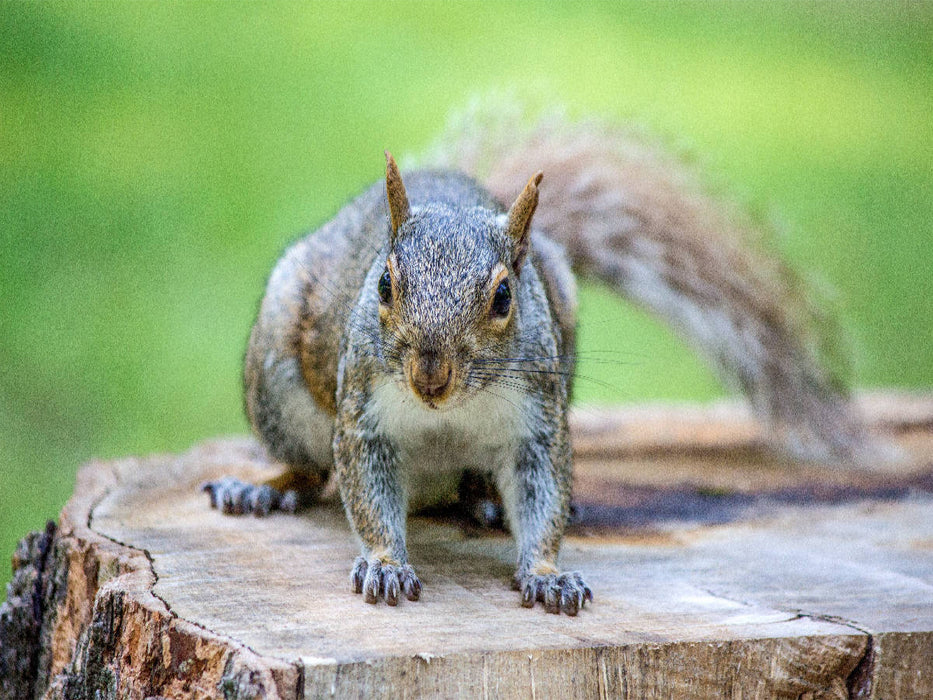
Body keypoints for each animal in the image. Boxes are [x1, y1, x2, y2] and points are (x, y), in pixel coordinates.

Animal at [203, 102, 882, 616]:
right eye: (385, 285)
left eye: (505, 296)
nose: (430, 377)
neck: (453, 410)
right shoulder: (362, 413)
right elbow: (366, 495)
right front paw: (386, 565)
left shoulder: (538, 421)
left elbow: (542, 495)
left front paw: (548, 572)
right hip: (278, 388)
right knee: (311, 469)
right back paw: (260, 488)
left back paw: (483, 498)